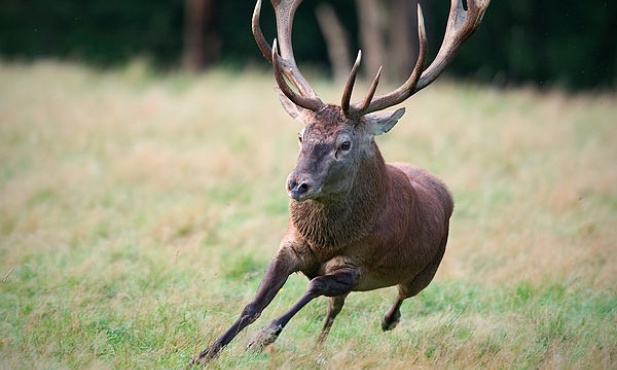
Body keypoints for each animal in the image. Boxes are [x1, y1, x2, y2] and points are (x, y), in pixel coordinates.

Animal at [190, 0, 488, 364]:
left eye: (344, 144)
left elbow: (314, 285)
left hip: (427, 269)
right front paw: (205, 353)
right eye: (301, 135)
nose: (297, 185)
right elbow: (254, 303)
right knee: (336, 309)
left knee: (400, 296)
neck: (325, 241)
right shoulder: (290, 245)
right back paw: (318, 347)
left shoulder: (356, 267)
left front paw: (261, 338)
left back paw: (387, 320)